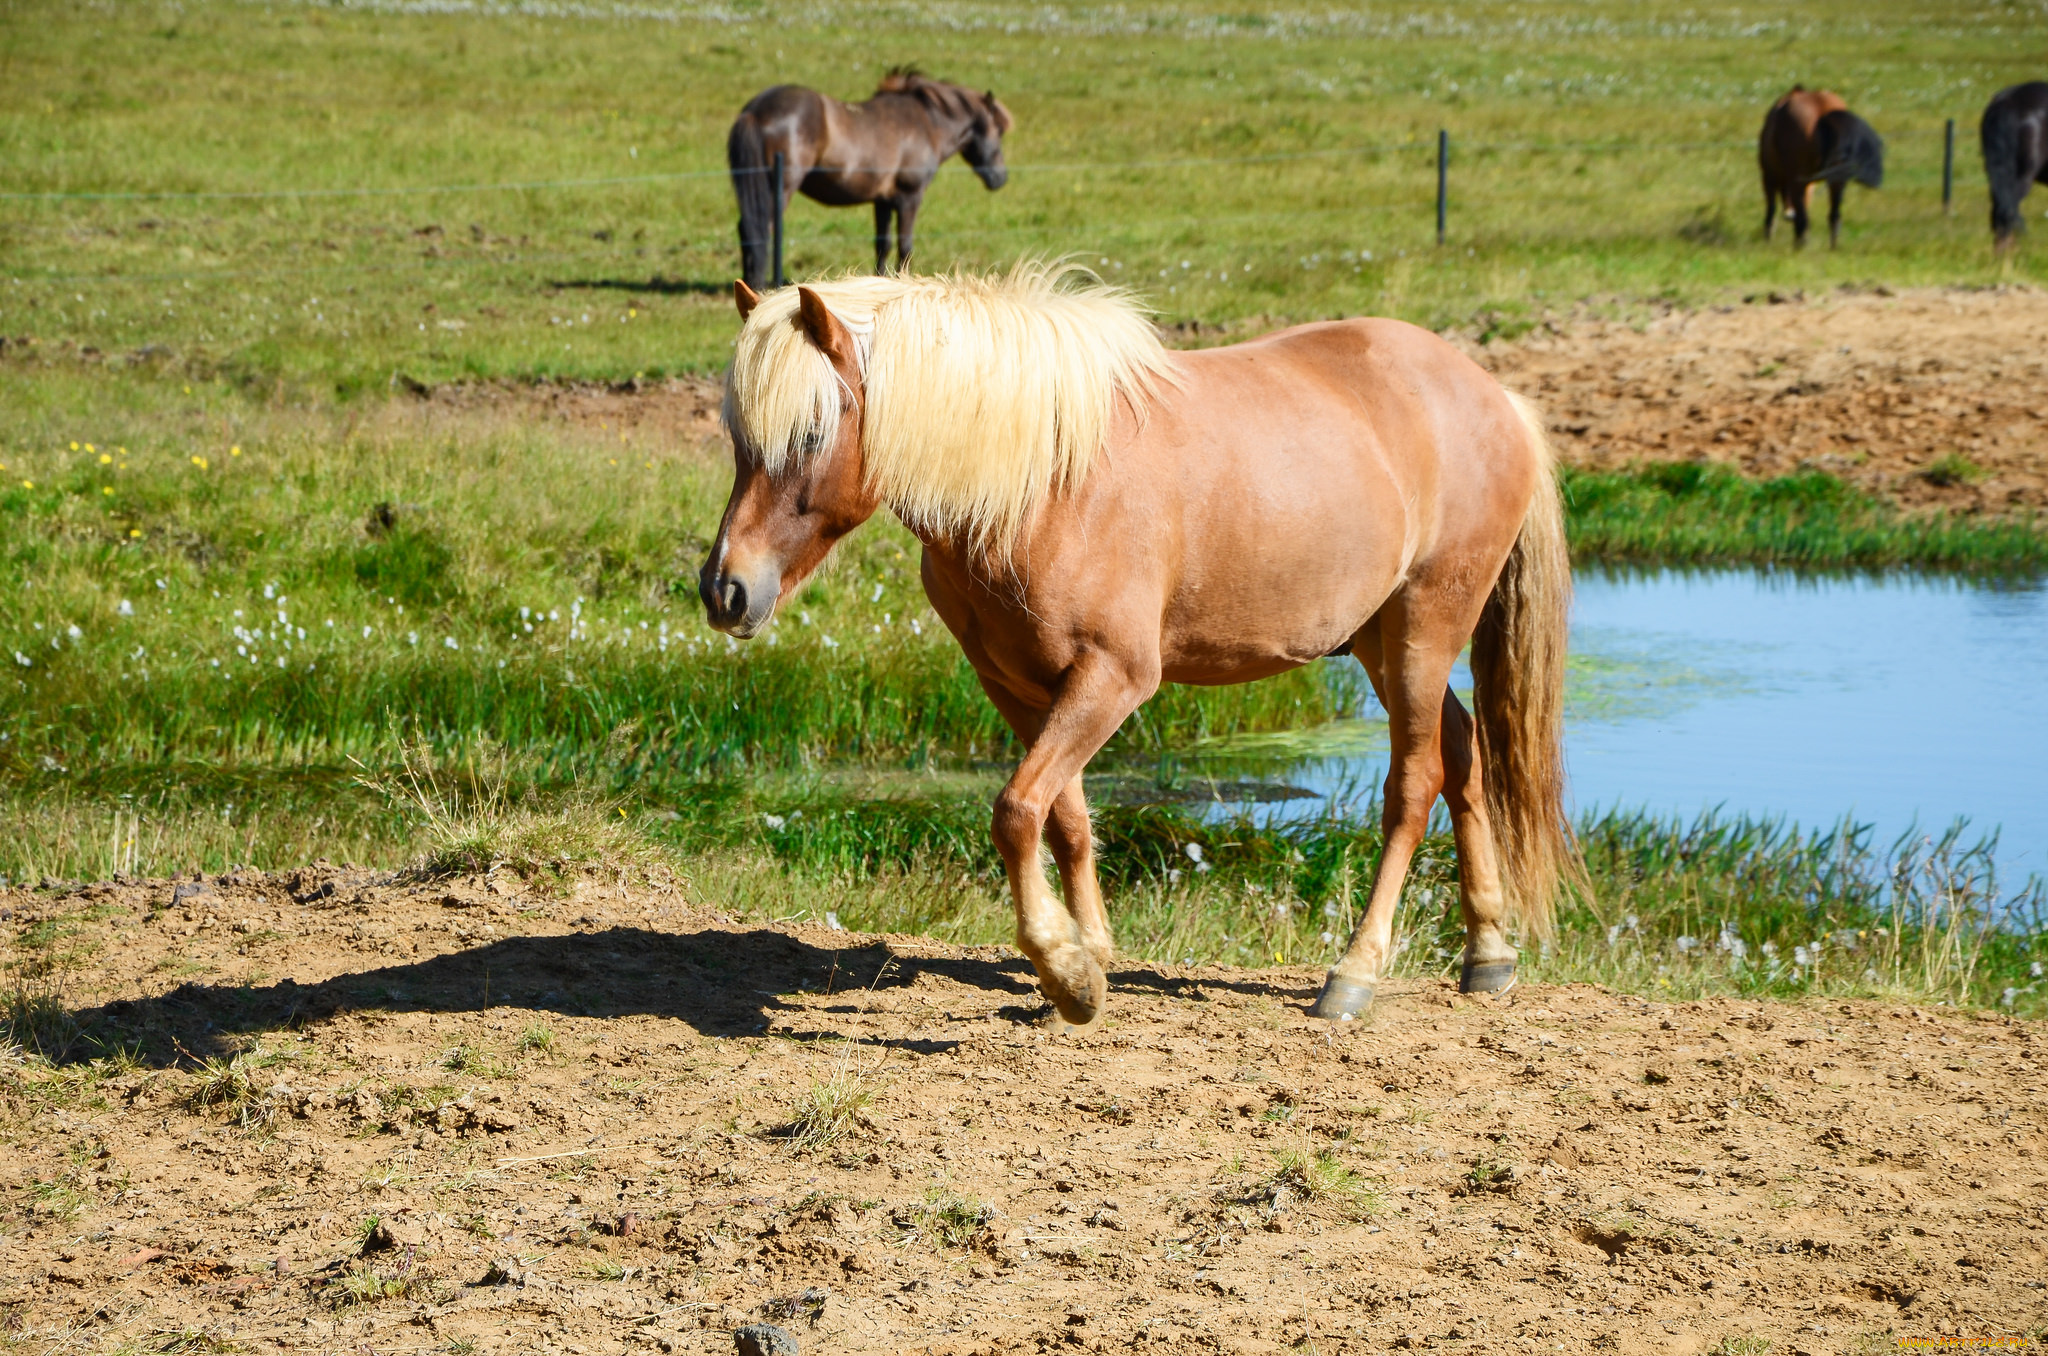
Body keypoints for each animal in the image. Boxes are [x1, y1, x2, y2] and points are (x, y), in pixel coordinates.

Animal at [696, 266, 1572, 1032]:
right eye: (737, 437)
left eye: (811, 431)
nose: (725, 590)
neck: (1044, 483)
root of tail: (1494, 395)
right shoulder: (1017, 684)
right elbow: (1065, 819)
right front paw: (1089, 956)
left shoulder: (1113, 679)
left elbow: (1017, 811)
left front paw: (1066, 973)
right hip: (1378, 640)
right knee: (1462, 752)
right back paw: (1488, 956)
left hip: (1427, 625)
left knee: (1414, 784)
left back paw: (1353, 975)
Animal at [724, 71, 1011, 288]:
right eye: (997, 130)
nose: (1001, 177)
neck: (925, 123)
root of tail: (755, 110)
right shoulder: (909, 197)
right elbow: (905, 246)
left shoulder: (883, 200)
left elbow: (882, 245)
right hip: (779, 190)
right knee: (761, 230)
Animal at [1761, 87, 1884, 249]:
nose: (1789, 214)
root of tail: (1822, 109)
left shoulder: (1769, 175)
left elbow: (1771, 211)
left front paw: (1767, 240)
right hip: (1837, 179)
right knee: (1834, 216)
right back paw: (1833, 247)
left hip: (1795, 179)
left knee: (1803, 220)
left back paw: (1799, 247)